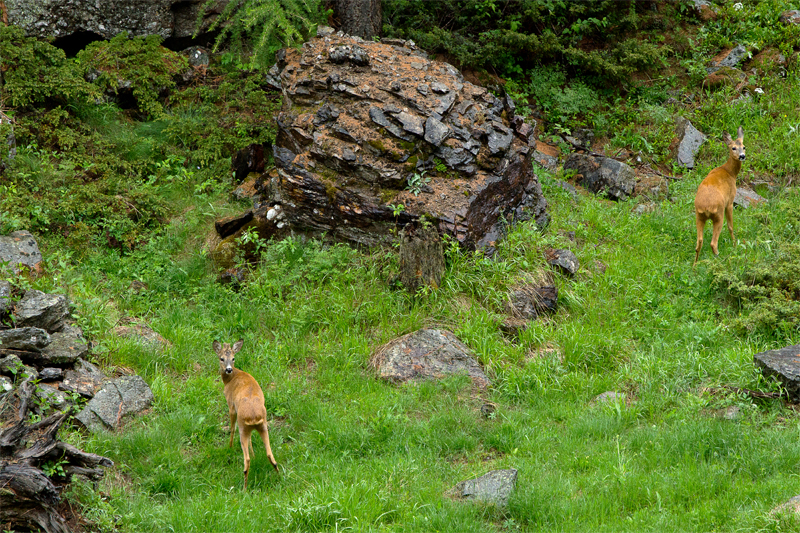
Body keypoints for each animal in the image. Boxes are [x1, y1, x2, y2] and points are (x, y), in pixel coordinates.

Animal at [214, 338, 280, 488]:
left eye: (233, 358)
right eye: (222, 358)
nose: (228, 369)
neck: (232, 378)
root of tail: (254, 417)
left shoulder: (231, 405)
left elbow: (232, 428)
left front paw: (230, 447)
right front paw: (255, 454)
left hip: (243, 426)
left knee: (247, 460)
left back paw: (244, 487)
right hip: (263, 426)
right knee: (270, 454)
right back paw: (280, 477)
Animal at [692, 125, 748, 266]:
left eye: (744, 146)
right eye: (733, 148)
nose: (742, 156)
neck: (730, 172)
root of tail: (705, 207)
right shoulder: (730, 201)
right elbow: (731, 226)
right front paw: (734, 244)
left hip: (698, 216)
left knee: (699, 242)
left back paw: (695, 266)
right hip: (718, 214)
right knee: (713, 243)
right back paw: (720, 259)